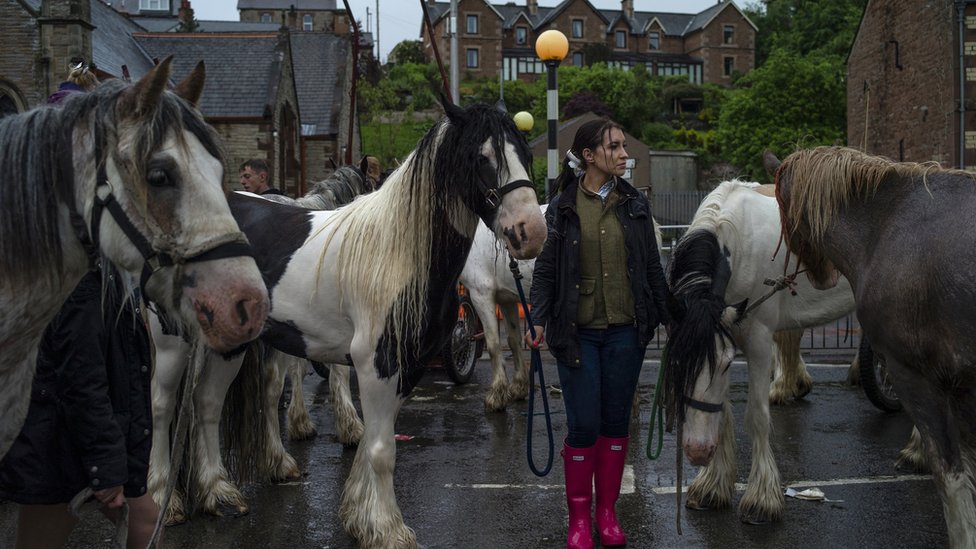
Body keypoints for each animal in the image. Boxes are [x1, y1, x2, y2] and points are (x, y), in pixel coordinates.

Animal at [219, 100, 548, 544]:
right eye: (482, 158)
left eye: (526, 154)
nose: (532, 233)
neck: (397, 255)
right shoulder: (374, 363)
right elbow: (381, 452)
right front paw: (391, 531)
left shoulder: (407, 365)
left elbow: (375, 441)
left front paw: (360, 519)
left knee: (258, 394)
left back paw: (265, 470)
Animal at [772, 147, 976, 548]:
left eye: (783, 211)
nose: (822, 277)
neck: (886, 225)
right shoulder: (961, 388)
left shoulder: (914, 376)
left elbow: (952, 480)